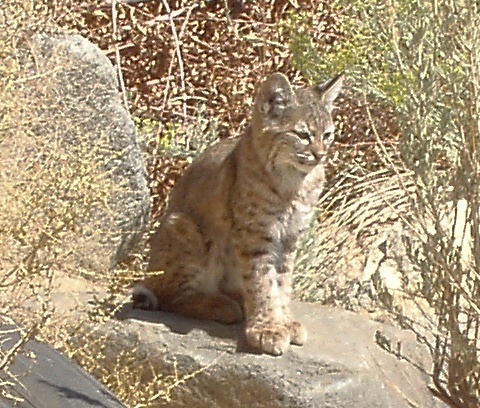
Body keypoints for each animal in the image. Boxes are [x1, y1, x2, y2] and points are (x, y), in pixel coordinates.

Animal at [133, 73, 344, 356]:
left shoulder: (290, 237)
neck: (294, 181)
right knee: (166, 295)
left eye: (328, 134)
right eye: (302, 135)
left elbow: (282, 282)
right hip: (183, 225)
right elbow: (262, 281)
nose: (320, 156)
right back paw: (220, 305)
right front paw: (268, 329)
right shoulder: (256, 234)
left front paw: (284, 321)